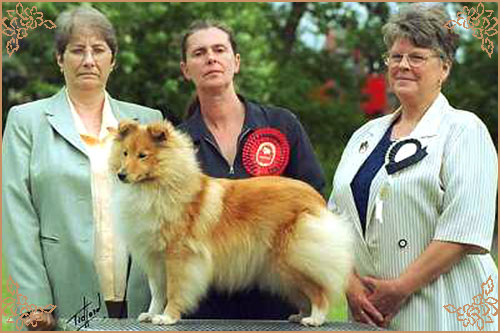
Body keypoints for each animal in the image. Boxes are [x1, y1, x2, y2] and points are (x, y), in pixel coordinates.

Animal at [109, 120, 352, 326]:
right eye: (125, 153)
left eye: (143, 155)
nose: (121, 175)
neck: (157, 186)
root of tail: (316, 199)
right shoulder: (155, 257)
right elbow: (158, 292)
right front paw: (151, 314)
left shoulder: (179, 256)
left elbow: (175, 289)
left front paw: (167, 317)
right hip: (284, 269)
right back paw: (300, 315)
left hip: (293, 259)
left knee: (319, 291)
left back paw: (315, 319)